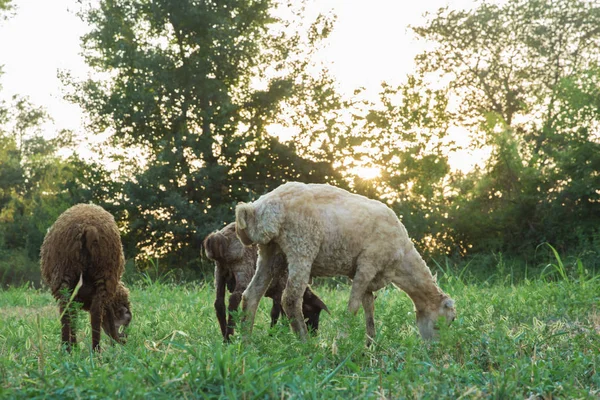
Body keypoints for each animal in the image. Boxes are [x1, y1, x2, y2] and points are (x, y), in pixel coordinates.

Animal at [40, 205, 132, 352]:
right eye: (127, 321)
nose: (123, 342)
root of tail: (89, 228)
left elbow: (73, 315)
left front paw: (74, 345)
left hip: (65, 271)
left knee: (70, 310)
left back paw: (70, 349)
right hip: (102, 272)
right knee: (93, 311)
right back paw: (91, 350)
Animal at [234, 181, 454, 344]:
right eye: (451, 319)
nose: (437, 349)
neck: (402, 261)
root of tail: (258, 208)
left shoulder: (366, 276)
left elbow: (369, 307)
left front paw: (370, 344)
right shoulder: (368, 264)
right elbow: (353, 306)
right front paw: (340, 343)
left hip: (270, 252)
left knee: (251, 295)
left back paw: (246, 344)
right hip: (302, 246)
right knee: (290, 298)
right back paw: (306, 345)